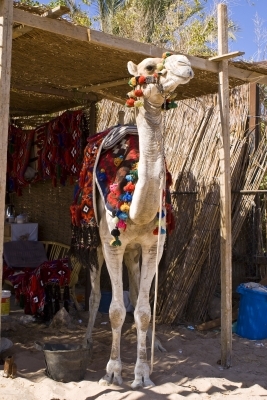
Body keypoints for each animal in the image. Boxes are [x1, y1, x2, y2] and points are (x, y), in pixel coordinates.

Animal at [82, 53, 195, 388]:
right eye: (148, 67)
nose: (185, 63)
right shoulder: (111, 243)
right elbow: (115, 310)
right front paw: (112, 371)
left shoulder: (154, 244)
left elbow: (143, 310)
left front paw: (143, 372)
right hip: (93, 242)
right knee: (95, 294)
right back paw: (87, 340)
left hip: (134, 249)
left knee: (134, 291)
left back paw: (151, 343)